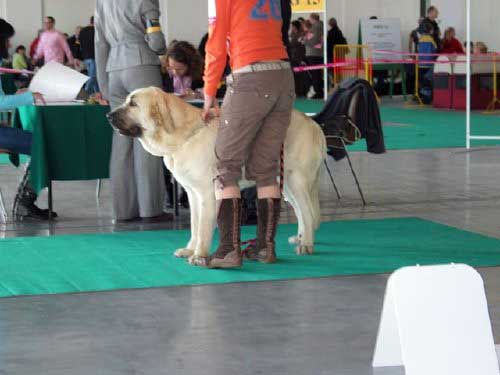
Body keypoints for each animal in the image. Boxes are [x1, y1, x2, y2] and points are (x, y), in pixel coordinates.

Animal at [107, 88, 326, 266]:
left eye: (133, 104)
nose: (108, 115)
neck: (183, 135)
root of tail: (313, 123)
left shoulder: (207, 193)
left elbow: (204, 226)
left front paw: (198, 256)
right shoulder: (193, 194)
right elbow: (195, 224)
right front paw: (189, 249)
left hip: (297, 180)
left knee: (307, 212)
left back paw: (306, 244)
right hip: (286, 184)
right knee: (301, 212)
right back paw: (300, 238)